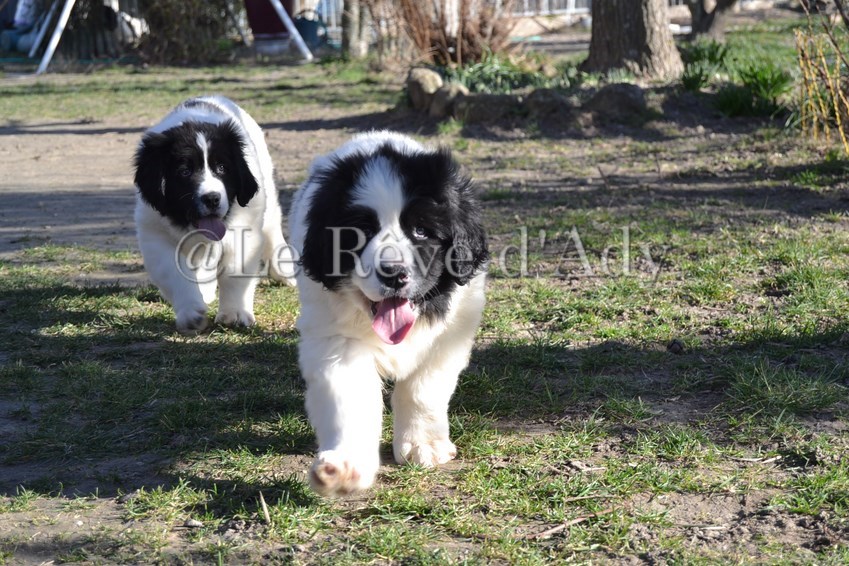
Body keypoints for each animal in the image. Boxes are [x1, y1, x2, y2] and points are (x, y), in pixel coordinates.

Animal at [133, 95, 295, 334]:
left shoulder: (244, 230)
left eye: (222, 168)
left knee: (273, 229)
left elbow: (235, 274)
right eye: (184, 172)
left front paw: (234, 314)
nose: (212, 198)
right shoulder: (155, 234)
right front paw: (191, 311)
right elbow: (173, 271)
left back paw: (285, 271)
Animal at [288, 131, 489, 496]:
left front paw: (424, 444)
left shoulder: (451, 333)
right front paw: (345, 466)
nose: (394, 273)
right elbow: (349, 398)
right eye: (358, 233)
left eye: (421, 231)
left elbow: (423, 388)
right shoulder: (337, 341)